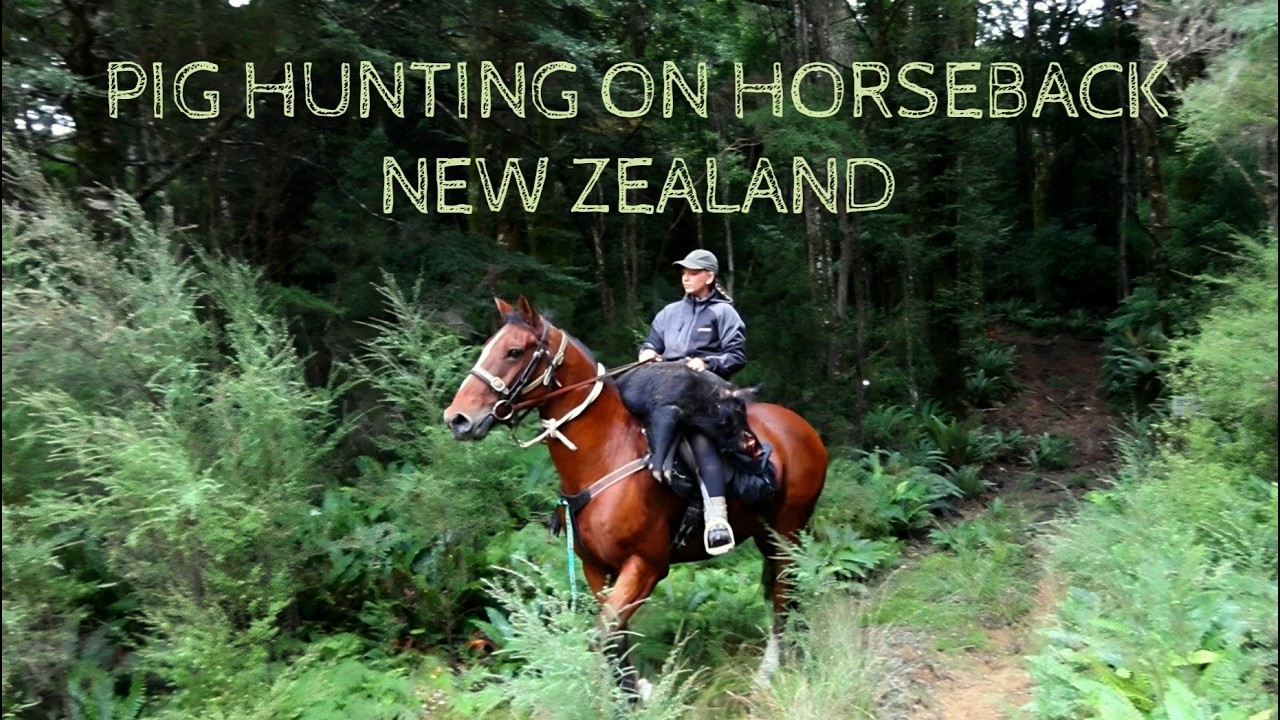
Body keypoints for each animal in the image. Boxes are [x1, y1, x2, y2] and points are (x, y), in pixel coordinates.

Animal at [615, 362, 758, 482]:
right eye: (737, 410)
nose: (758, 447)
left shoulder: (681, 424)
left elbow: (673, 443)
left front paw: (667, 476)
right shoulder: (667, 407)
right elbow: (663, 436)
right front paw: (657, 476)